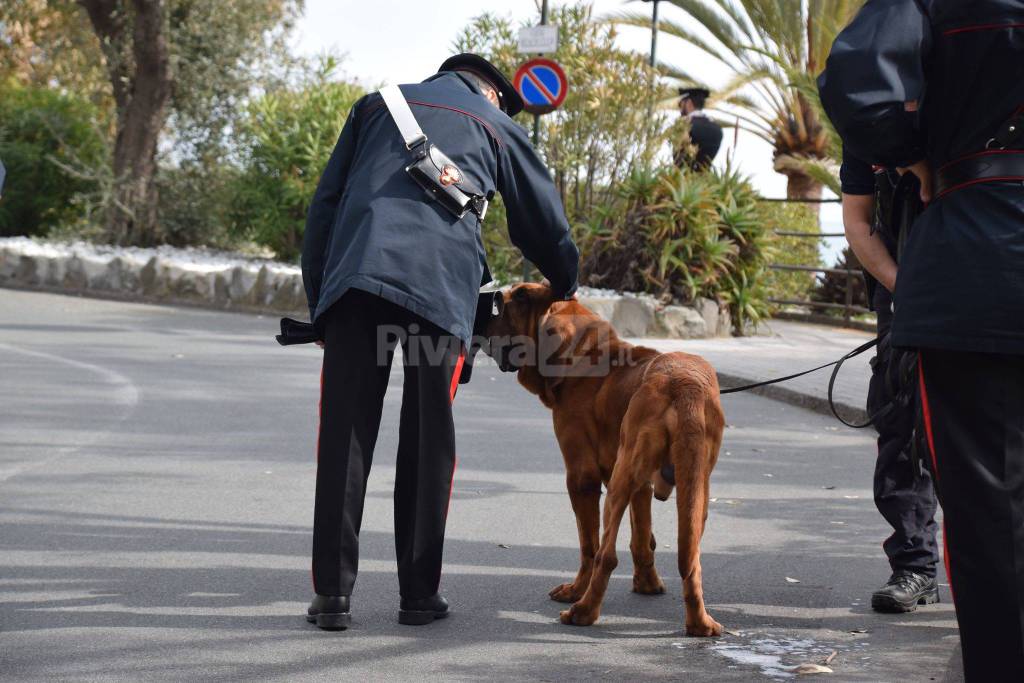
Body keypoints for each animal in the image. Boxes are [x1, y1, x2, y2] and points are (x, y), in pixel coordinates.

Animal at [485, 282, 720, 634]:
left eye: (519, 298)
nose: (496, 296)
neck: (584, 358)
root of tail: (684, 386)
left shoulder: (581, 476)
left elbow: (589, 544)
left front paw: (575, 590)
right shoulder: (642, 486)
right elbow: (642, 536)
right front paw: (647, 584)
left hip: (620, 482)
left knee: (605, 555)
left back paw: (582, 612)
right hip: (693, 488)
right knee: (690, 557)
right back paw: (700, 624)